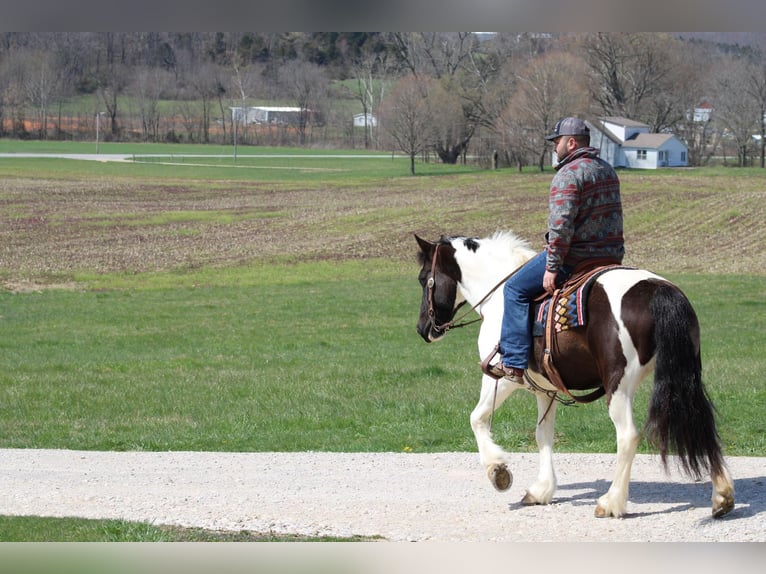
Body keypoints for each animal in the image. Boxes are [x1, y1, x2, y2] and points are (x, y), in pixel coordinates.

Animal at [416, 232, 736, 520]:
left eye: (423, 278)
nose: (423, 329)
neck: (499, 297)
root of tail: (657, 289)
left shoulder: (502, 378)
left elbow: (477, 418)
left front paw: (498, 471)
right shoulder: (545, 389)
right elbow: (543, 434)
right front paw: (541, 490)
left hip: (618, 386)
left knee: (628, 436)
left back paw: (611, 502)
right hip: (686, 375)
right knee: (700, 420)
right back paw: (722, 497)